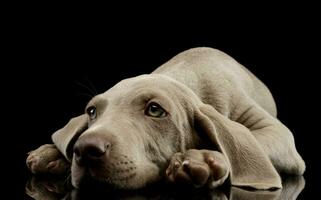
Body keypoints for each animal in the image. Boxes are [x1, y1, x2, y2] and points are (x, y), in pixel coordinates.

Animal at [26, 47, 304, 190]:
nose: (85, 148)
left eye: (155, 109)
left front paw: (202, 158)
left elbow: (257, 138)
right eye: (92, 111)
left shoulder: (277, 132)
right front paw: (51, 153)